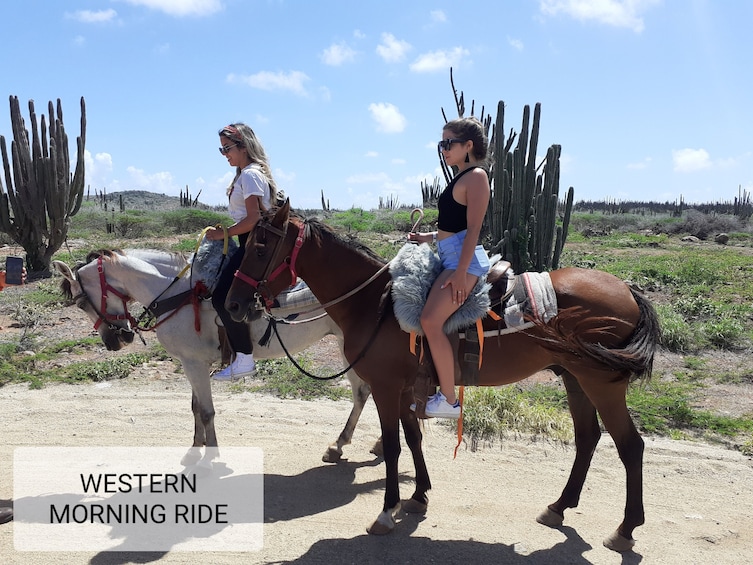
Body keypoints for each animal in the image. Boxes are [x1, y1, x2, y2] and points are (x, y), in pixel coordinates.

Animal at [51, 249, 374, 470]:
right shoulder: (191, 363)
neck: (178, 295)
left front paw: (211, 456)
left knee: (364, 392)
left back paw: (343, 445)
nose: (114, 341)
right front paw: (195, 450)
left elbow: (206, 412)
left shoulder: (194, 363)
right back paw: (360, 446)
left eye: (80, 302)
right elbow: (195, 408)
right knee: (369, 393)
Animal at [223, 200, 656, 552]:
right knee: (588, 438)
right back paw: (558, 507)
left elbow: (393, 447)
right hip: (574, 377)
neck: (376, 304)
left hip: (601, 383)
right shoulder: (402, 389)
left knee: (630, 446)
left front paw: (386, 512)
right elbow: (413, 438)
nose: (233, 303)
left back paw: (625, 529)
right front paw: (419, 496)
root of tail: (628, 291)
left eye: (259, 247)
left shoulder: (385, 388)